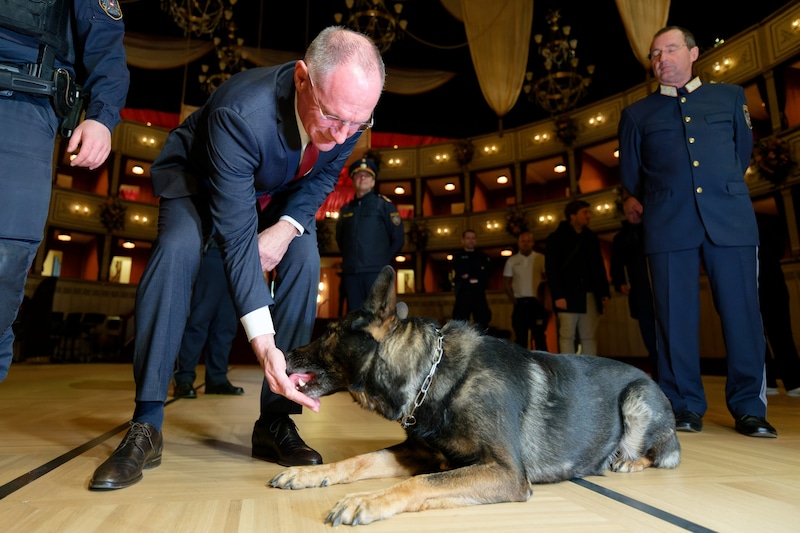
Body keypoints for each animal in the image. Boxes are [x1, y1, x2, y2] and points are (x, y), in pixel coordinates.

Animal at [270, 266, 680, 524]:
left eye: (328, 333)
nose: (282, 353)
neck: (435, 377)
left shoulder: (504, 473)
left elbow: (420, 482)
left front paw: (368, 500)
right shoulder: (418, 453)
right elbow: (359, 460)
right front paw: (311, 474)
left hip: (636, 401)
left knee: (662, 453)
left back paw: (628, 461)